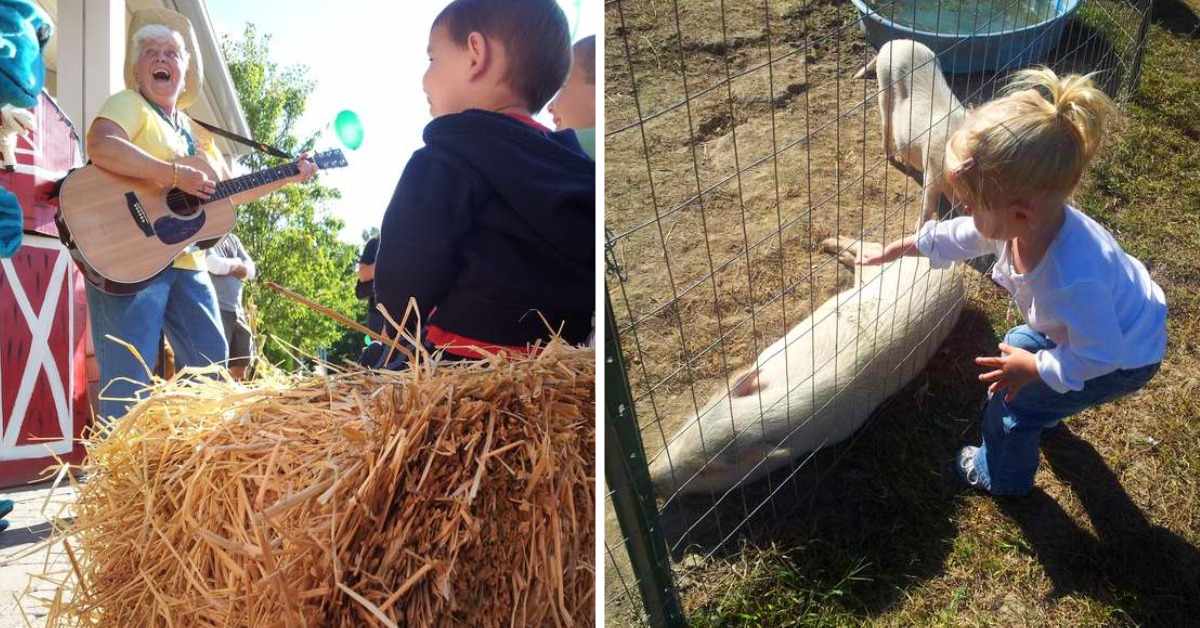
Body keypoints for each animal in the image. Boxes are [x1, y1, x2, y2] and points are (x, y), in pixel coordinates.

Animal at [854, 38, 964, 225]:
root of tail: (894, 42)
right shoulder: (932, 168)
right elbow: (928, 205)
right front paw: (919, 227)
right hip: (884, 85)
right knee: (886, 124)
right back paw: (893, 157)